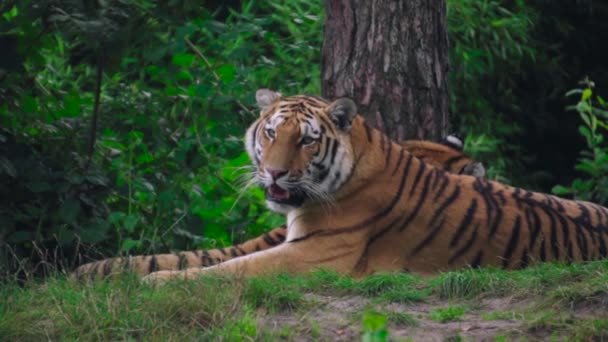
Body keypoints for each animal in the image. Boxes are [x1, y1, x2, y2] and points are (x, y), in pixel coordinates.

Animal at [73, 88, 604, 284]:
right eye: (271, 133)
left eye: (307, 140)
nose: (274, 173)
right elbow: (190, 256)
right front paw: (91, 272)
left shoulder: (311, 255)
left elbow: (224, 269)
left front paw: (149, 284)